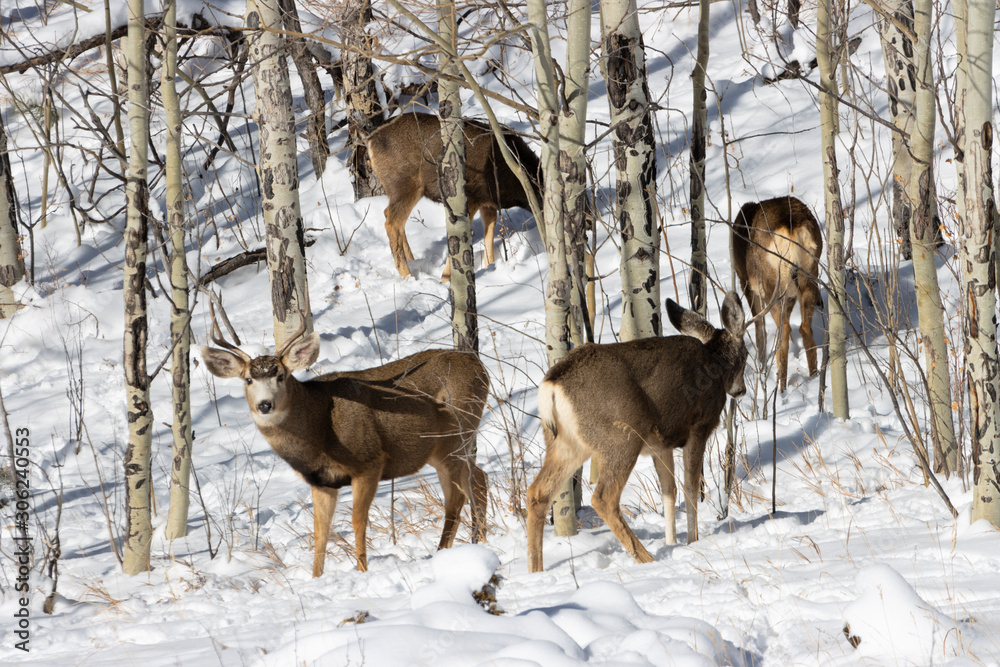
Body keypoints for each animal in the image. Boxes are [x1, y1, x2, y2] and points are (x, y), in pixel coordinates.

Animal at [201, 321, 490, 577]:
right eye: (248, 379)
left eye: (281, 376)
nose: (265, 405)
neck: (319, 431)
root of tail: (480, 368)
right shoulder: (322, 481)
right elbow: (320, 531)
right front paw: (316, 578)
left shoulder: (370, 462)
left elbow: (357, 520)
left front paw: (362, 571)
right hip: (446, 448)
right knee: (479, 478)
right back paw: (481, 542)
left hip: (454, 436)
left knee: (457, 498)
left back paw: (445, 552)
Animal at [365, 112, 542, 281]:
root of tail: (370, 140)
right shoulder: (471, 196)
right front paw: (446, 280)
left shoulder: (488, 202)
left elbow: (489, 233)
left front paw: (490, 267)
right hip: (403, 183)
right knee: (392, 222)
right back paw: (407, 275)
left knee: (392, 217)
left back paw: (413, 263)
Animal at [527, 292, 751, 573]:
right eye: (747, 354)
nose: (740, 391)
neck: (715, 365)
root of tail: (552, 387)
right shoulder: (698, 427)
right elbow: (690, 487)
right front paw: (692, 542)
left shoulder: (660, 444)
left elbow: (669, 491)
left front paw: (672, 542)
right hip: (621, 437)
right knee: (603, 498)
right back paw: (646, 559)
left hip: (566, 443)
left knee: (537, 493)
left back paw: (534, 570)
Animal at [731, 196, 824, 393]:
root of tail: (791, 228)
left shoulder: (747, 284)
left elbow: (760, 329)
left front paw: (761, 365)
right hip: (809, 275)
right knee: (805, 329)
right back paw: (813, 378)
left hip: (771, 285)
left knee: (783, 334)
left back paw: (781, 387)